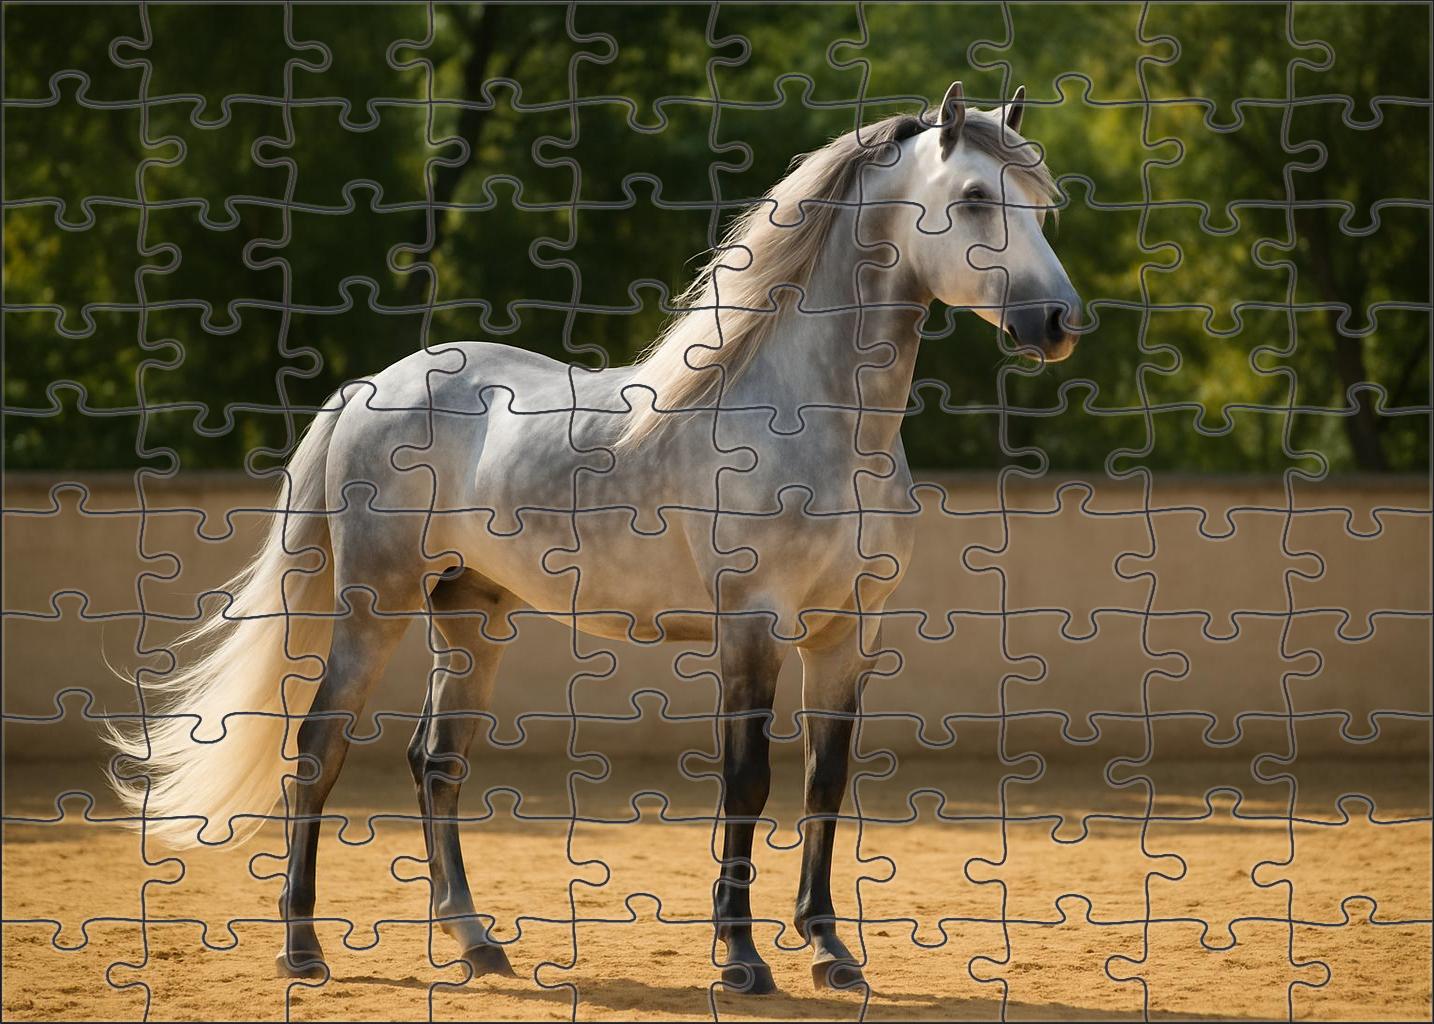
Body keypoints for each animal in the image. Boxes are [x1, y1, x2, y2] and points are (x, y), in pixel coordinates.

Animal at [107, 81, 1082, 994]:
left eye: (1040, 202)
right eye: (972, 198)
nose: (1060, 324)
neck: (819, 420)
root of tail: (372, 387)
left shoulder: (846, 632)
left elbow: (823, 785)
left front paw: (830, 952)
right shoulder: (751, 628)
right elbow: (747, 783)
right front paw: (740, 960)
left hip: (471, 617)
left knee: (436, 764)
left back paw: (477, 943)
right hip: (372, 606)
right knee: (319, 747)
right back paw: (304, 947)